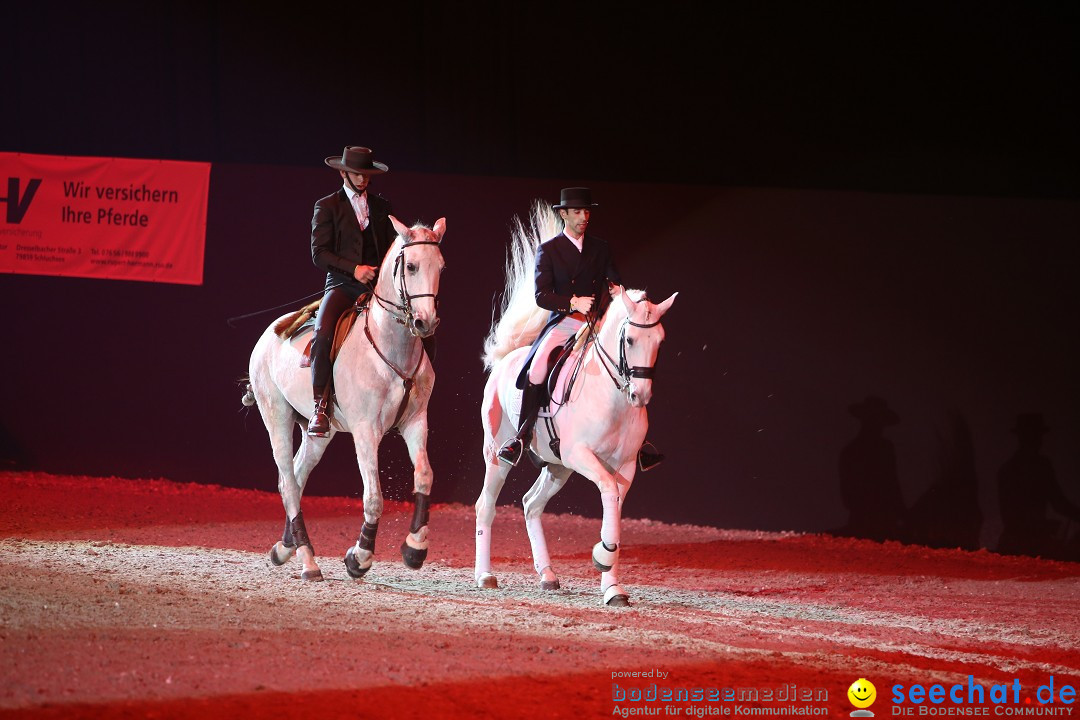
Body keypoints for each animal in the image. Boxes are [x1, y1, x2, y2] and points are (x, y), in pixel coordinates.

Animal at [247, 213, 444, 578]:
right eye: (410, 266)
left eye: (441, 266)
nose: (426, 322)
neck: (391, 348)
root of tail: (269, 333)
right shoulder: (366, 431)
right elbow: (374, 497)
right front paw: (360, 556)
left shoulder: (416, 422)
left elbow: (424, 476)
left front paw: (415, 548)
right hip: (276, 417)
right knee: (289, 484)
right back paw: (308, 560)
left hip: (318, 434)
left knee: (295, 477)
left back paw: (285, 548)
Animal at [475, 204, 673, 608]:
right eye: (630, 339)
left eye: (659, 341)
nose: (640, 396)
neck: (613, 399)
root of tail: (506, 360)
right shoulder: (582, 455)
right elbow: (608, 493)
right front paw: (602, 557)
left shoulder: (624, 466)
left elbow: (614, 505)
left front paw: (612, 583)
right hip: (498, 453)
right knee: (485, 505)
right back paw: (485, 576)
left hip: (557, 467)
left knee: (532, 504)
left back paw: (548, 575)